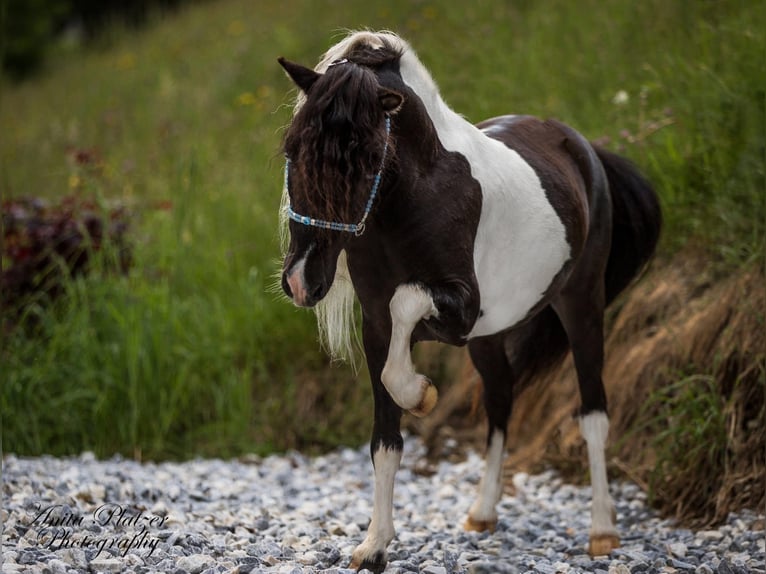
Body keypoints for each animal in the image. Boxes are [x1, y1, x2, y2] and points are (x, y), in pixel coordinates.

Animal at [280, 32, 664, 574]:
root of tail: (585, 148)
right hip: (491, 334)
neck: (419, 193)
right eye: (292, 148)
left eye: (368, 157)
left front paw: (421, 394)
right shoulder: (378, 327)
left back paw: (602, 531)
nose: (301, 281)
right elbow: (385, 438)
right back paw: (482, 514)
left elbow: (406, 311)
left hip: (582, 304)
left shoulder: (457, 309)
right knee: (501, 400)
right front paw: (374, 546)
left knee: (593, 412)